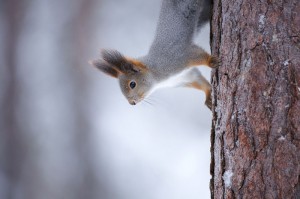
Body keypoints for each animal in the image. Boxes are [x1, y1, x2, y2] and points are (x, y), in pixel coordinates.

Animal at [89, 0, 218, 109]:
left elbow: (196, 54)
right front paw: (208, 95)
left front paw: (211, 61)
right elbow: (198, 80)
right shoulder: (185, 77)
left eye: (132, 84)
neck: (156, 77)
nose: (132, 103)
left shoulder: (178, 57)